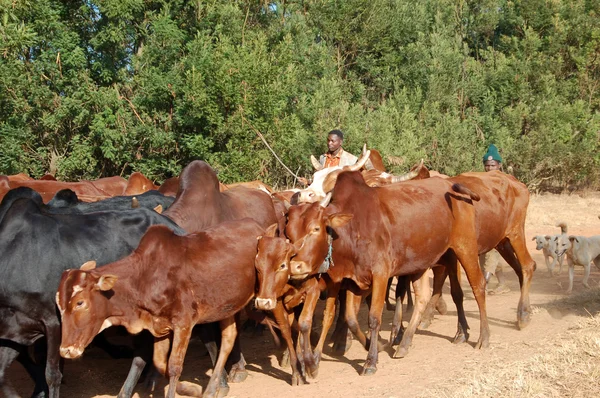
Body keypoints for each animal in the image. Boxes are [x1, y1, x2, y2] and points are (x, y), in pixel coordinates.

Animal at [57, 219, 264, 398]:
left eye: (80, 302)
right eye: (59, 304)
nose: (66, 350)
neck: (144, 278)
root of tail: (260, 228)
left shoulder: (183, 324)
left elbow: (174, 366)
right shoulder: (160, 326)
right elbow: (159, 362)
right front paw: (191, 389)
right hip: (227, 306)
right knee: (228, 338)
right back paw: (212, 389)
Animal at [282, 171, 488, 376]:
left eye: (316, 228)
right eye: (288, 234)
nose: (296, 266)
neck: (353, 229)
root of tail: (450, 184)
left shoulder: (380, 275)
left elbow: (374, 318)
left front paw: (371, 361)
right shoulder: (354, 281)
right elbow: (351, 318)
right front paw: (374, 346)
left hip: (464, 248)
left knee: (477, 287)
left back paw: (482, 337)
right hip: (424, 262)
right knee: (423, 297)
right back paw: (404, 343)